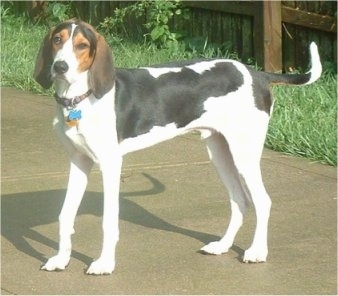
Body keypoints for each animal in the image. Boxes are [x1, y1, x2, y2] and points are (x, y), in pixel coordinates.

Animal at [33, 19, 322, 276]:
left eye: (82, 45)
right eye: (57, 40)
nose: (60, 66)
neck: (79, 98)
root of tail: (257, 74)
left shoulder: (110, 164)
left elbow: (109, 220)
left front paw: (104, 264)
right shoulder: (79, 162)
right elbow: (65, 215)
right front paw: (61, 259)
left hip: (244, 153)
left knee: (262, 200)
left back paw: (258, 252)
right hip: (219, 152)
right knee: (240, 200)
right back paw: (222, 246)